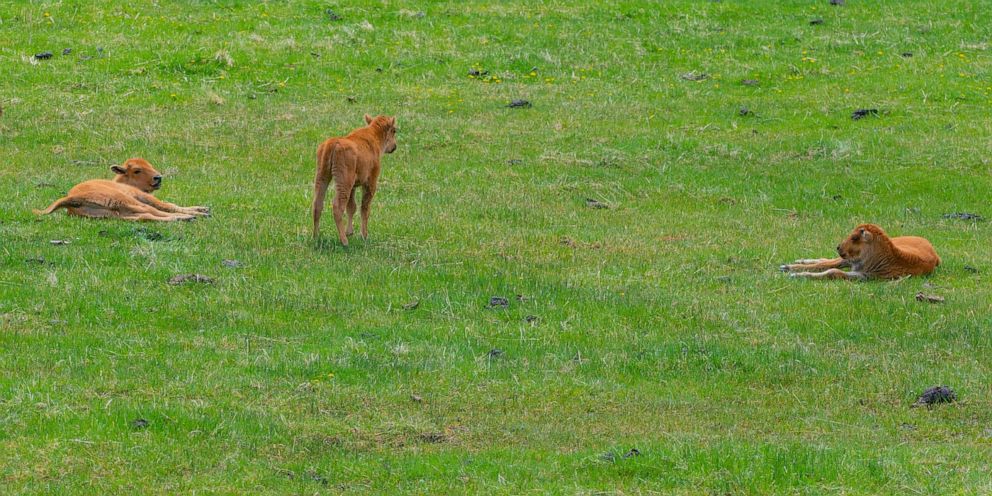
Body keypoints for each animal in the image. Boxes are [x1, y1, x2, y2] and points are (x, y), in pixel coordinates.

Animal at [35, 158, 210, 222]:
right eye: (137, 170)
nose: (158, 178)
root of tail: (72, 199)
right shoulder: (141, 196)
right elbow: (167, 205)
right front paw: (201, 211)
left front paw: (202, 208)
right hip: (127, 201)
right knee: (151, 211)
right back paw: (187, 217)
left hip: (114, 214)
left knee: (145, 216)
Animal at [784, 224, 936, 280]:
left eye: (854, 237)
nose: (838, 247)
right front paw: (793, 271)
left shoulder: (863, 275)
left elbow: (833, 272)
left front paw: (796, 274)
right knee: (828, 261)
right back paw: (790, 265)